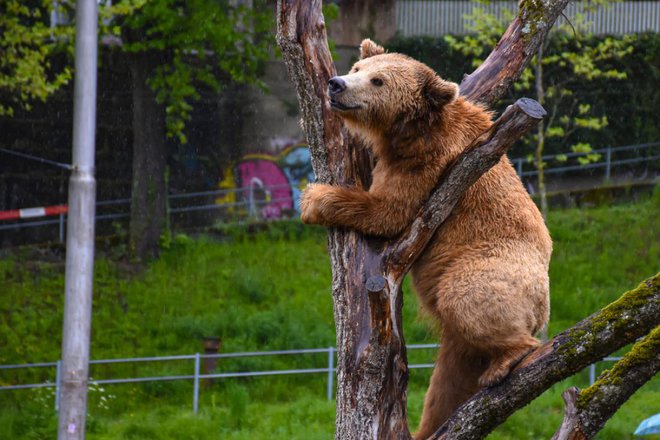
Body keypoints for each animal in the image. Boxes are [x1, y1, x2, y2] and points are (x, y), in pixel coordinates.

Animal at [300, 39, 552, 438]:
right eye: (357, 68)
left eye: (378, 81)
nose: (336, 84)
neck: (408, 132)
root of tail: (542, 308)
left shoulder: (429, 166)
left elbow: (388, 211)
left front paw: (313, 199)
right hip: (460, 340)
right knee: (447, 380)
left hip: (489, 269)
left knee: (470, 301)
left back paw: (509, 359)